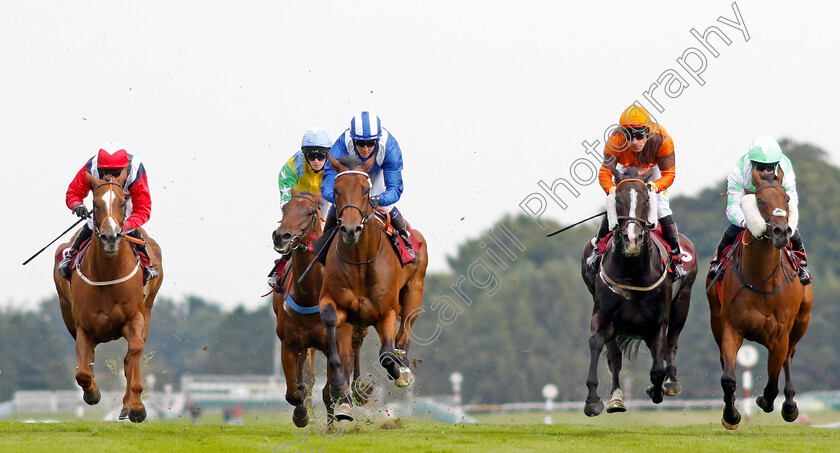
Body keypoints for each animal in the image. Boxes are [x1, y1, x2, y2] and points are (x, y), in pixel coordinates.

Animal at [53, 169, 164, 420]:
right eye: (94, 203)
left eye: (123, 202)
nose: (110, 236)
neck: (107, 274)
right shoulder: (83, 327)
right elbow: (83, 371)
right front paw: (92, 392)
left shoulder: (135, 319)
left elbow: (133, 353)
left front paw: (136, 406)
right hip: (66, 313)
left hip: (148, 310)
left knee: (131, 357)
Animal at [270, 188, 370, 428]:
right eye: (285, 209)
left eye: (309, 212)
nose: (281, 236)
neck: (309, 295)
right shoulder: (289, 343)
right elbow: (295, 391)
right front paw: (300, 414)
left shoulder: (337, 341)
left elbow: (330, 389)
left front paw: (333, 423)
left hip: (358, 329)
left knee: (356, 352)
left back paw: (358, 393)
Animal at [318, 155, 430, 420]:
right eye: (336, 191)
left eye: (365, 190)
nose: (350, 229)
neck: (361, 261)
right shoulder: (338, 307)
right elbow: (334, 338)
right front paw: (340, 393)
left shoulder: (386, 312)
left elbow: (387, 354)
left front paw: (399, 372)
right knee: (351, 352)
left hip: (414, 292)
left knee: (403, 334)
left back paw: (404, 367)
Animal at [580, 164, 700, 414]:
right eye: (618, 199)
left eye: (645, 198)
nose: (632, 238)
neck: (632, 272)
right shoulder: (604, 316)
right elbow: (597, 344)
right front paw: (593, 399)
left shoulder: (657, 322)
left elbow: (658, 366)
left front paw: (658, 389)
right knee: (615, 356)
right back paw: (616, 399)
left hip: (682, 303)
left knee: (671, 345)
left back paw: (671, 383)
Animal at [708, 168, 812, 430]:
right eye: (760, 200)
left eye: (786, 199)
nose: (781, 231)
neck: (762, 278)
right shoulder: (731, 328)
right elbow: (728, 378)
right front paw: (731, 416)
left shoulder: (780, 335)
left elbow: (773, 381)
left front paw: (766, 401)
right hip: (716, 320)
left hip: (800, 323)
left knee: (788, 358)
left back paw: (790, 405)